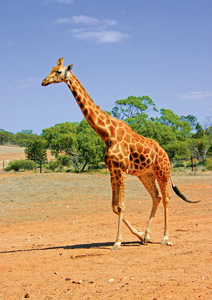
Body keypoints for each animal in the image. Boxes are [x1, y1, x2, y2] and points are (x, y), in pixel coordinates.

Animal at [41, 57, 199, 250]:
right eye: (51, 69)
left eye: (58, 71)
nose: (43, 82)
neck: (107, 134)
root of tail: (166, 154)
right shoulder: (112, 170)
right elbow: (114, 206)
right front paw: (139, 235)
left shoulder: (121, 169)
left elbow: (121, 206)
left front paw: (117, 241)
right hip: (145, 174)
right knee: (157, 196)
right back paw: (147, 235)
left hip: (163, 172)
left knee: (167, 198)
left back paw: (164, 238)